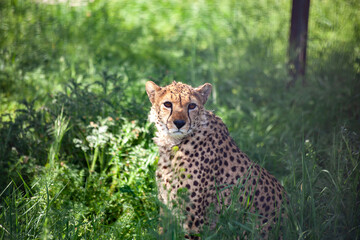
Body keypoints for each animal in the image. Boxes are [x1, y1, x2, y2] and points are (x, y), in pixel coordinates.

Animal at [146, 80, 286, 238]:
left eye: (192, 106)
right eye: (168, 104)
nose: (179, 123)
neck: (173, 145)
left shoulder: (194, 221)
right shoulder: (166, 211)